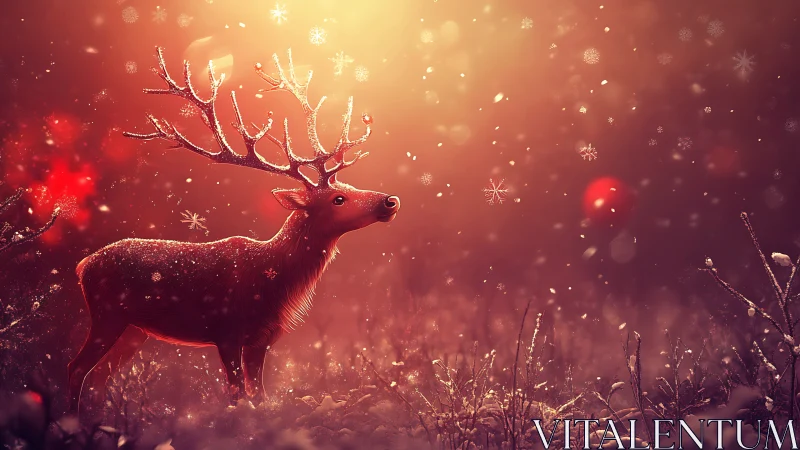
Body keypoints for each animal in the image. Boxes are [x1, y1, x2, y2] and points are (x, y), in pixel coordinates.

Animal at [67, 47, 400, 413]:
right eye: (338, 199)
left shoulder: (262, 338)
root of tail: (82, 266)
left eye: (350, 186)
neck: (274, 278)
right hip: (107, 315)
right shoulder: (225, 330)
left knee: (100, 377)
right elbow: (237, 394)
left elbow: (260, 396)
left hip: (134, 330)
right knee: (76, 367)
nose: (390, 201)